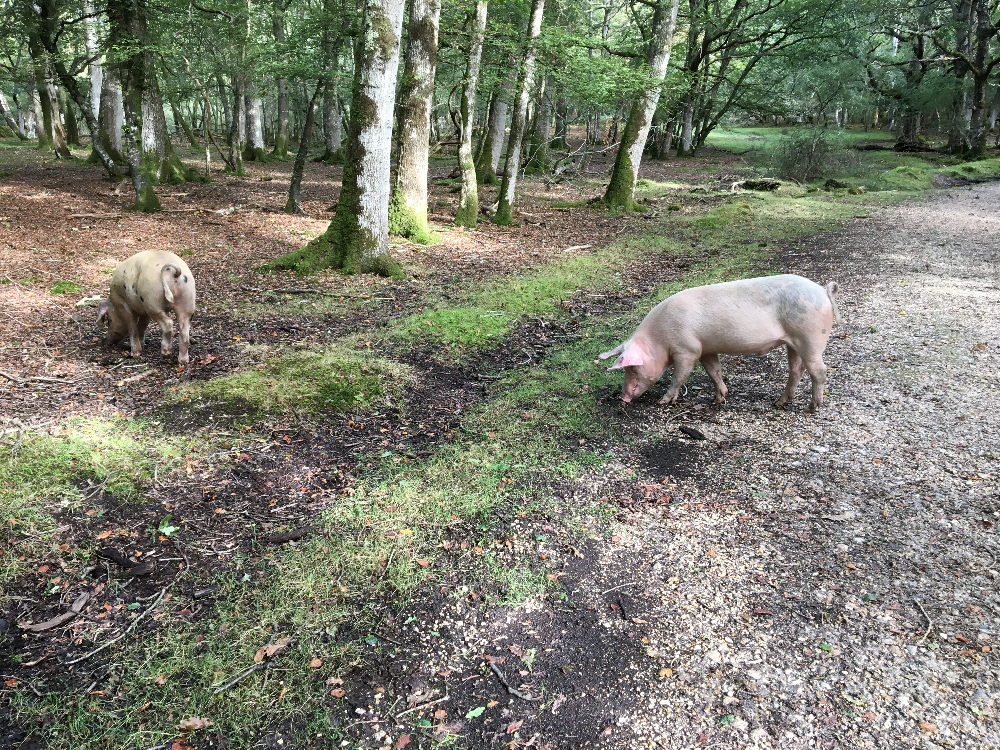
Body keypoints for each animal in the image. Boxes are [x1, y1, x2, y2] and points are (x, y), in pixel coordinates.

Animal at [600, 276, 844, 414]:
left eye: (632, 368)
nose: (623, 397)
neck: (659, 338)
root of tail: (824, 291)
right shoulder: (706, 350)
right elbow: (714, 372)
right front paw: (718, 399)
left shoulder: (687, 349)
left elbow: (679, 376)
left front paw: (663, 401)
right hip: (792, 342)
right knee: (796, 370)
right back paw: (779, 403)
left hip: (810, 337)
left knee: (819, 372)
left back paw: (811, 408)